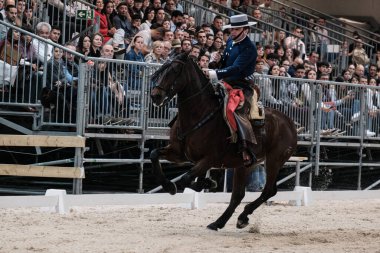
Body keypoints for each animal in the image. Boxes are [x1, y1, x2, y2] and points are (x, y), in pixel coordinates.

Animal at [150, 53, 298, 231]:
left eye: (175, 70)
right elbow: (154, 154)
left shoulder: (209, 159)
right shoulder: (179, 153)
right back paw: (222, 221)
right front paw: (169, 185)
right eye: (162, 69)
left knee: (268, 190)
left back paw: (241, 216)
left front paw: (207, 183)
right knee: (238, 195)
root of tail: (289, 122)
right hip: (246, 165)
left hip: (274, 161)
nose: (155, 95)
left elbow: (186, 178)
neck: (199, 113)